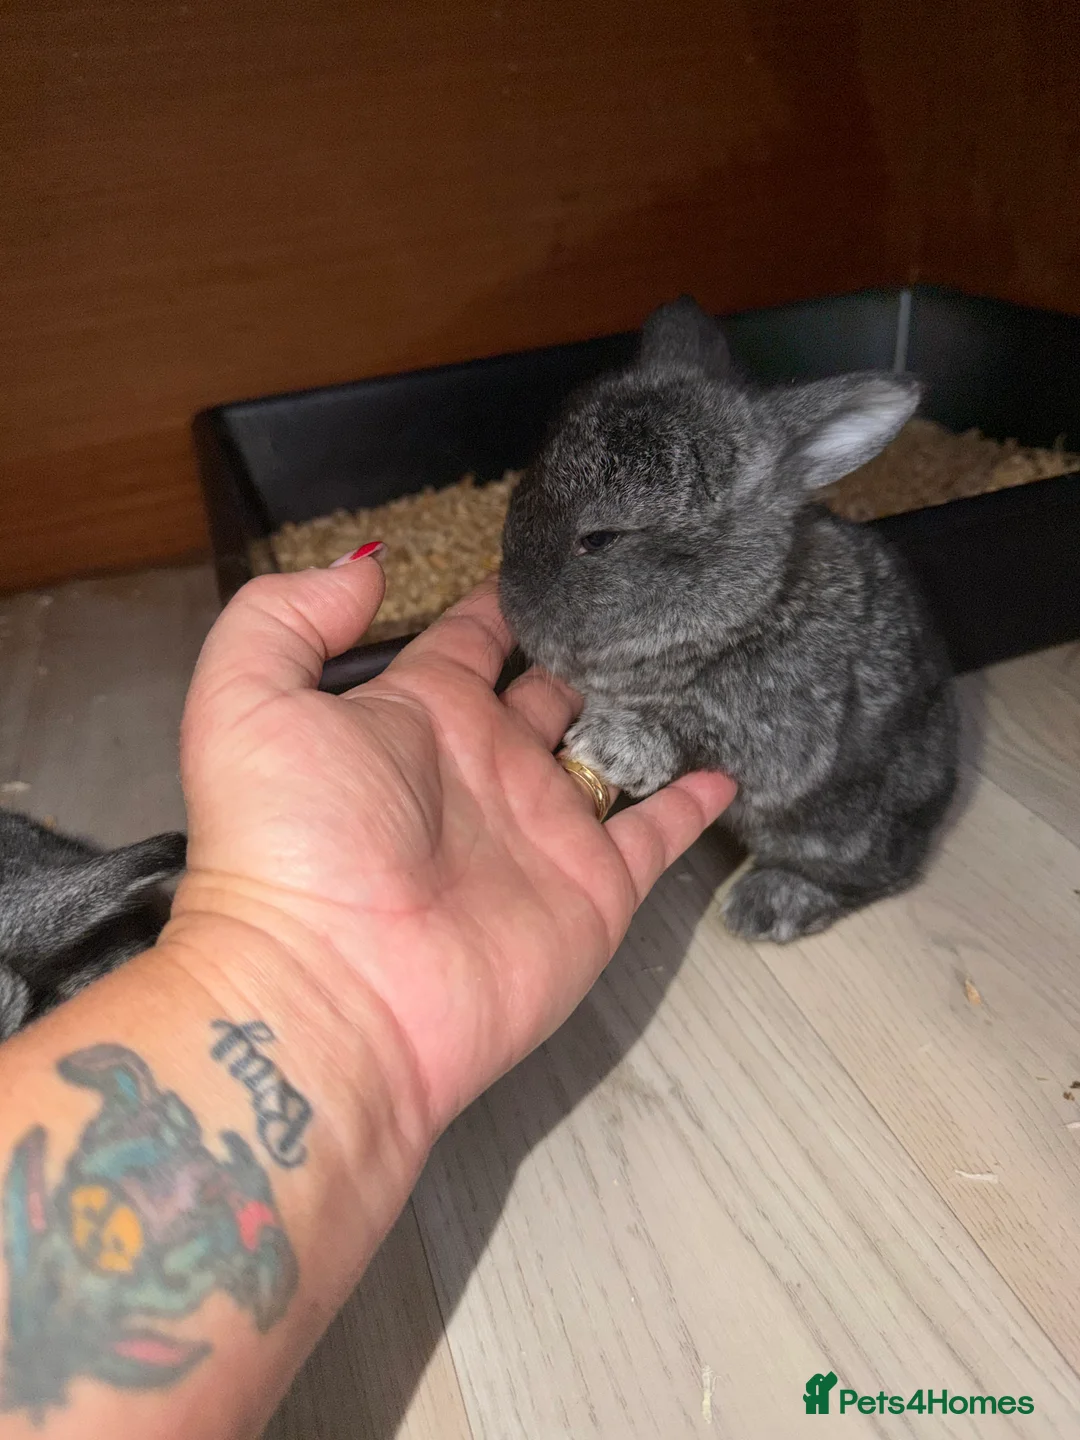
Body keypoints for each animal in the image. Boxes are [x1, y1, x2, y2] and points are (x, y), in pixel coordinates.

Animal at [499, 296, 958, 942]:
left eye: (600, 538)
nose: (510, 604)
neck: (749, 609)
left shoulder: (782, 729)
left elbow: (698, 732)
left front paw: (611, 747)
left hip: (837, 830)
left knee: (874, 876)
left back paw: (764, 905)